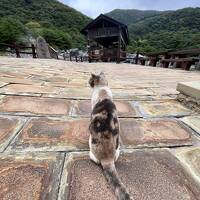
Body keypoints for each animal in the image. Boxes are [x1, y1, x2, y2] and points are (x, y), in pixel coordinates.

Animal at [88, 72, 133, 200]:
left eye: (90, 80)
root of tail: (107, 159)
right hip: (118, 150)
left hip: (90, 146)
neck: (103, 88)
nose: (88, 82)